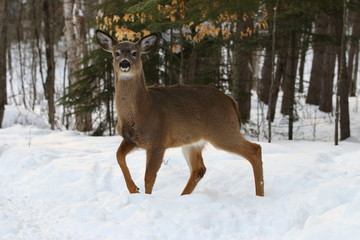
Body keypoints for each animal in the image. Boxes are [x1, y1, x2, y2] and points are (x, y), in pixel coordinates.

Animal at [95, 29, 264, 196]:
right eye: (116, 53)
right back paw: (183, 196)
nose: (124, 63)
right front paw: (133, 189)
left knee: (255, 149)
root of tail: (231, 101)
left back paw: (259, 194)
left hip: (223, 130)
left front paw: (146, 197)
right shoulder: (131, 139)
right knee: (199, 169)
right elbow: (118, 156)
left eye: (134, 52)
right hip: (193, 141)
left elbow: (149, 177)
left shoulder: (158, 140)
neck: (142, 110)